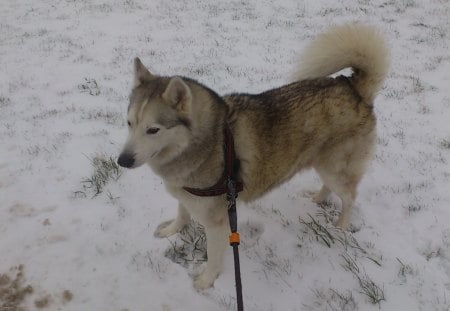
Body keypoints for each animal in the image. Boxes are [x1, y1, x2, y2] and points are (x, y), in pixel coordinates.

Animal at [118, 23, 388, 290]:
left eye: (153, 130)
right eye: (129, 123)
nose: (122, 160)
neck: (206, 142)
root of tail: (353, 88)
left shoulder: (217, 221)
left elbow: (213, 256)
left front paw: (206, 281)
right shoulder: (186, 193)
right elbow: (182, 214)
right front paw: (171, 230)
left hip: (335, 167)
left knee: (349, 197)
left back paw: (341, 226)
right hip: (322, 163)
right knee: (330, 187)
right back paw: (317, 198)